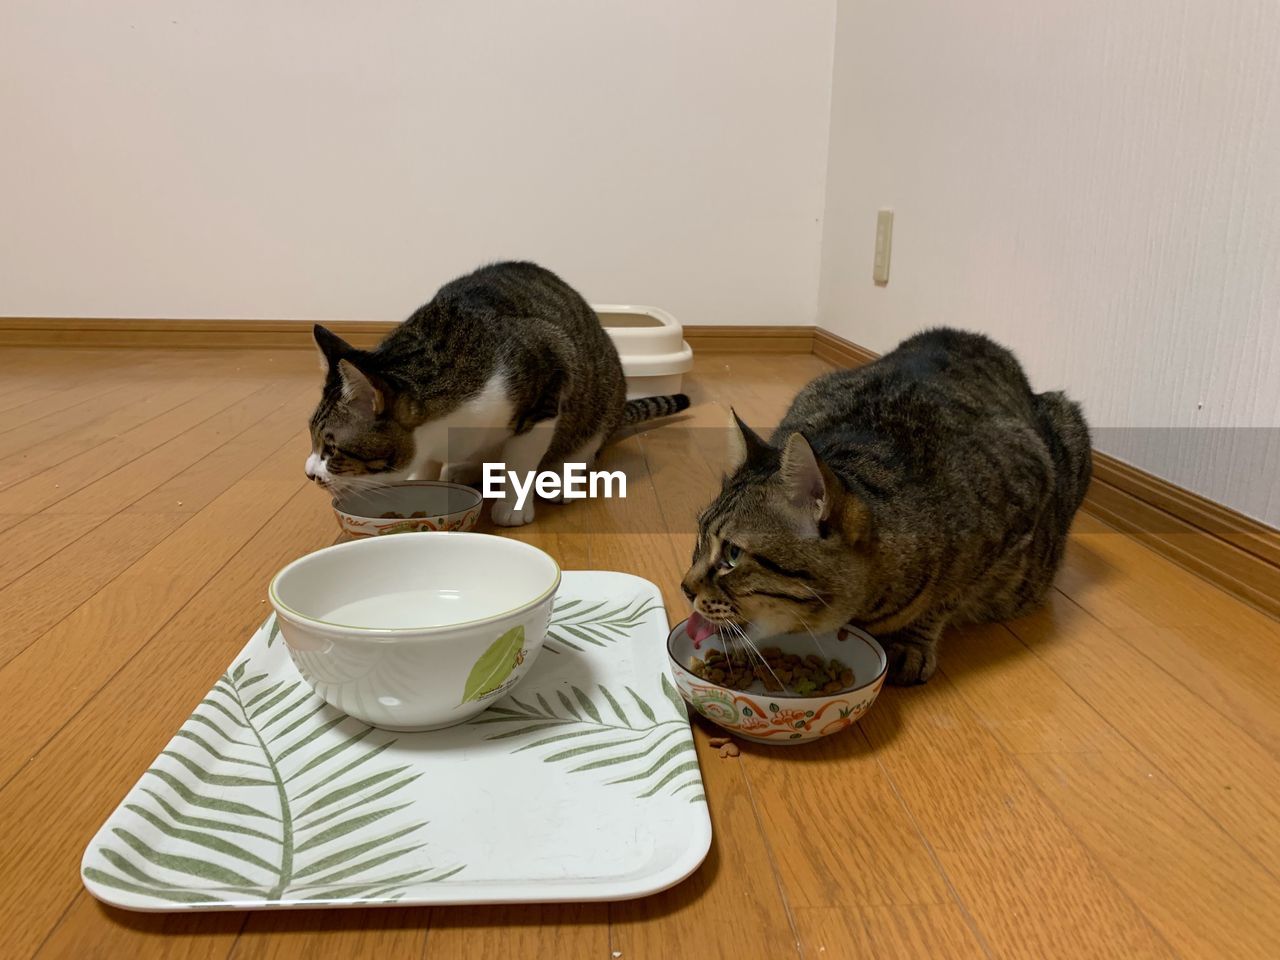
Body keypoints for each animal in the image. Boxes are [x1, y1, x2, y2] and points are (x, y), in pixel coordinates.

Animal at [307, 263, 691, 527]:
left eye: (332, 448)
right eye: (312, 440)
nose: (309, 474)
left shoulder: (547, 391)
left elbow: (520, 464)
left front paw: (513, 508)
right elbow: (427, 468)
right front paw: (423, 481)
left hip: (600, 399)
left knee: (583, 449)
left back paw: (562, 481)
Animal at [680, 330, 1090, 686]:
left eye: (733, 554)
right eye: (698, 539)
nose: (684, 588)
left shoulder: (1017, 503)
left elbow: (945, 596)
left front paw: (912, 640)